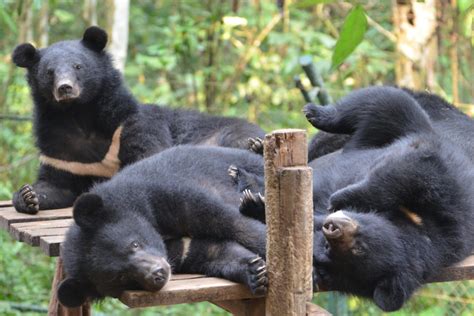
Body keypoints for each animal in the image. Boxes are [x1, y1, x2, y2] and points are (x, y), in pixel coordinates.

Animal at [11, 26, 264, 215]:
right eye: (49, 72)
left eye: (78, 66)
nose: (65, 88)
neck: (78, 113)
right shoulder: (59, 147)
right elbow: (56, 184)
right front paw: (27, 195)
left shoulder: (130, 123)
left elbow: (148, 156)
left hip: (225, 133)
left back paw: (256, 146)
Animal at [57, 147, 266, 308]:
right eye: (121, 278)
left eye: (135, 244)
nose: (158, 274)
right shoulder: (178, 250)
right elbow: (211, 251)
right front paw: (255, 272)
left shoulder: (167, 194)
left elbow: (230, 221)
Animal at [237, 86, 474, 312]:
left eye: (358, 249)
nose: (333, 228)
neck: (417, 225)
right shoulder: (450, 194)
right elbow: (415, 168)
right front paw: (340, 198)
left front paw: (255, 204)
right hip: (425, 113)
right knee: (386, 104)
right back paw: (306, 118)